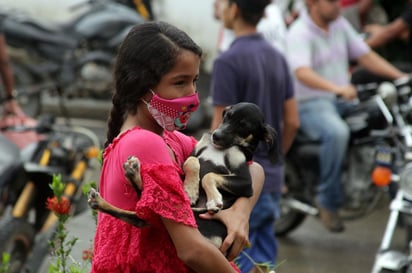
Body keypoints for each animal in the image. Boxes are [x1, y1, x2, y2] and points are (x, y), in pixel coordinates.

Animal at [88, 101, 278, 248]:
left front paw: (212, 199)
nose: (216, 135)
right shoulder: (192, 155)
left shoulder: (246, 183)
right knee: (141, 212)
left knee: (142, 216)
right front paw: (191, 190)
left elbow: (209, 176)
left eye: (243, 125)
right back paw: (120, 183)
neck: (220, 148)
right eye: (227, 116)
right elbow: (192, 162)